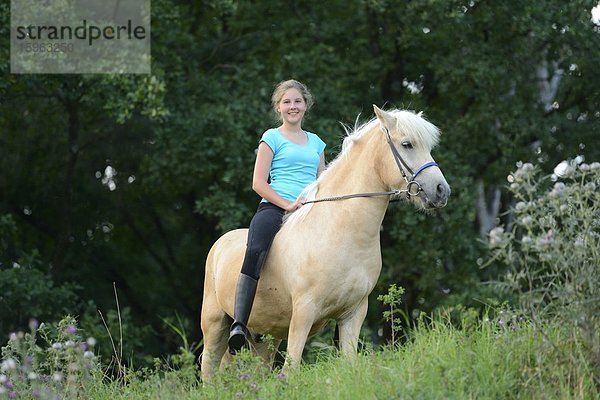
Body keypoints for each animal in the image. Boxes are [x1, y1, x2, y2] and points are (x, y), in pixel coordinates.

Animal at [202, 104, 450, 380]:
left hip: (265, 337)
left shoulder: (353, 314)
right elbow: (291, 369)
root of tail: (219, 245)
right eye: (407, 144)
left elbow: (349, 363)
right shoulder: (303, 313)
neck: (342, 234)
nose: (441, 191)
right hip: (215, 325)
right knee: (208, 372)